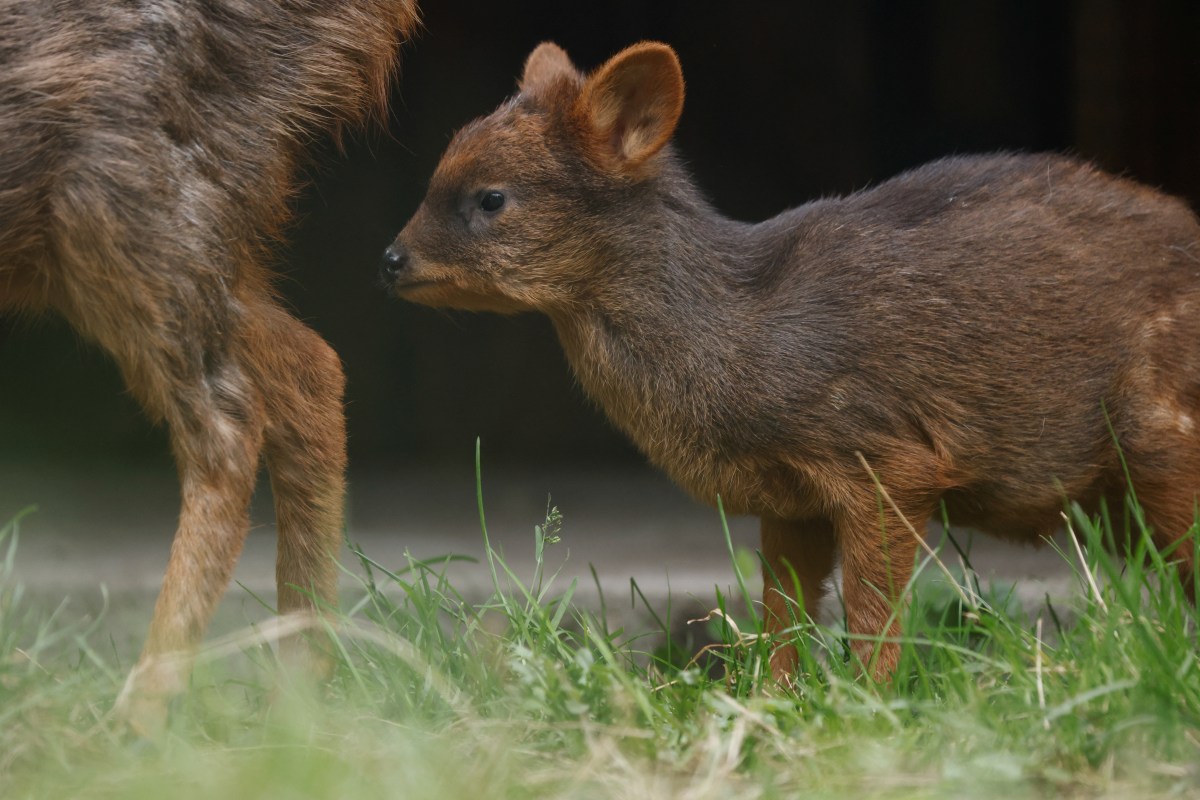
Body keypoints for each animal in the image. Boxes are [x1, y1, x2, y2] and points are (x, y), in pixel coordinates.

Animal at [384, 42, 1200, 681]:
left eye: (491, 197)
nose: (389, 259)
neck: (745, 340)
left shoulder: (888, 459)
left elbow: (871, 615)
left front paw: (869, 707)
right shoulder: (789, 500)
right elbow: (784, 615)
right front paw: (769, 702)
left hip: (1159, 439)